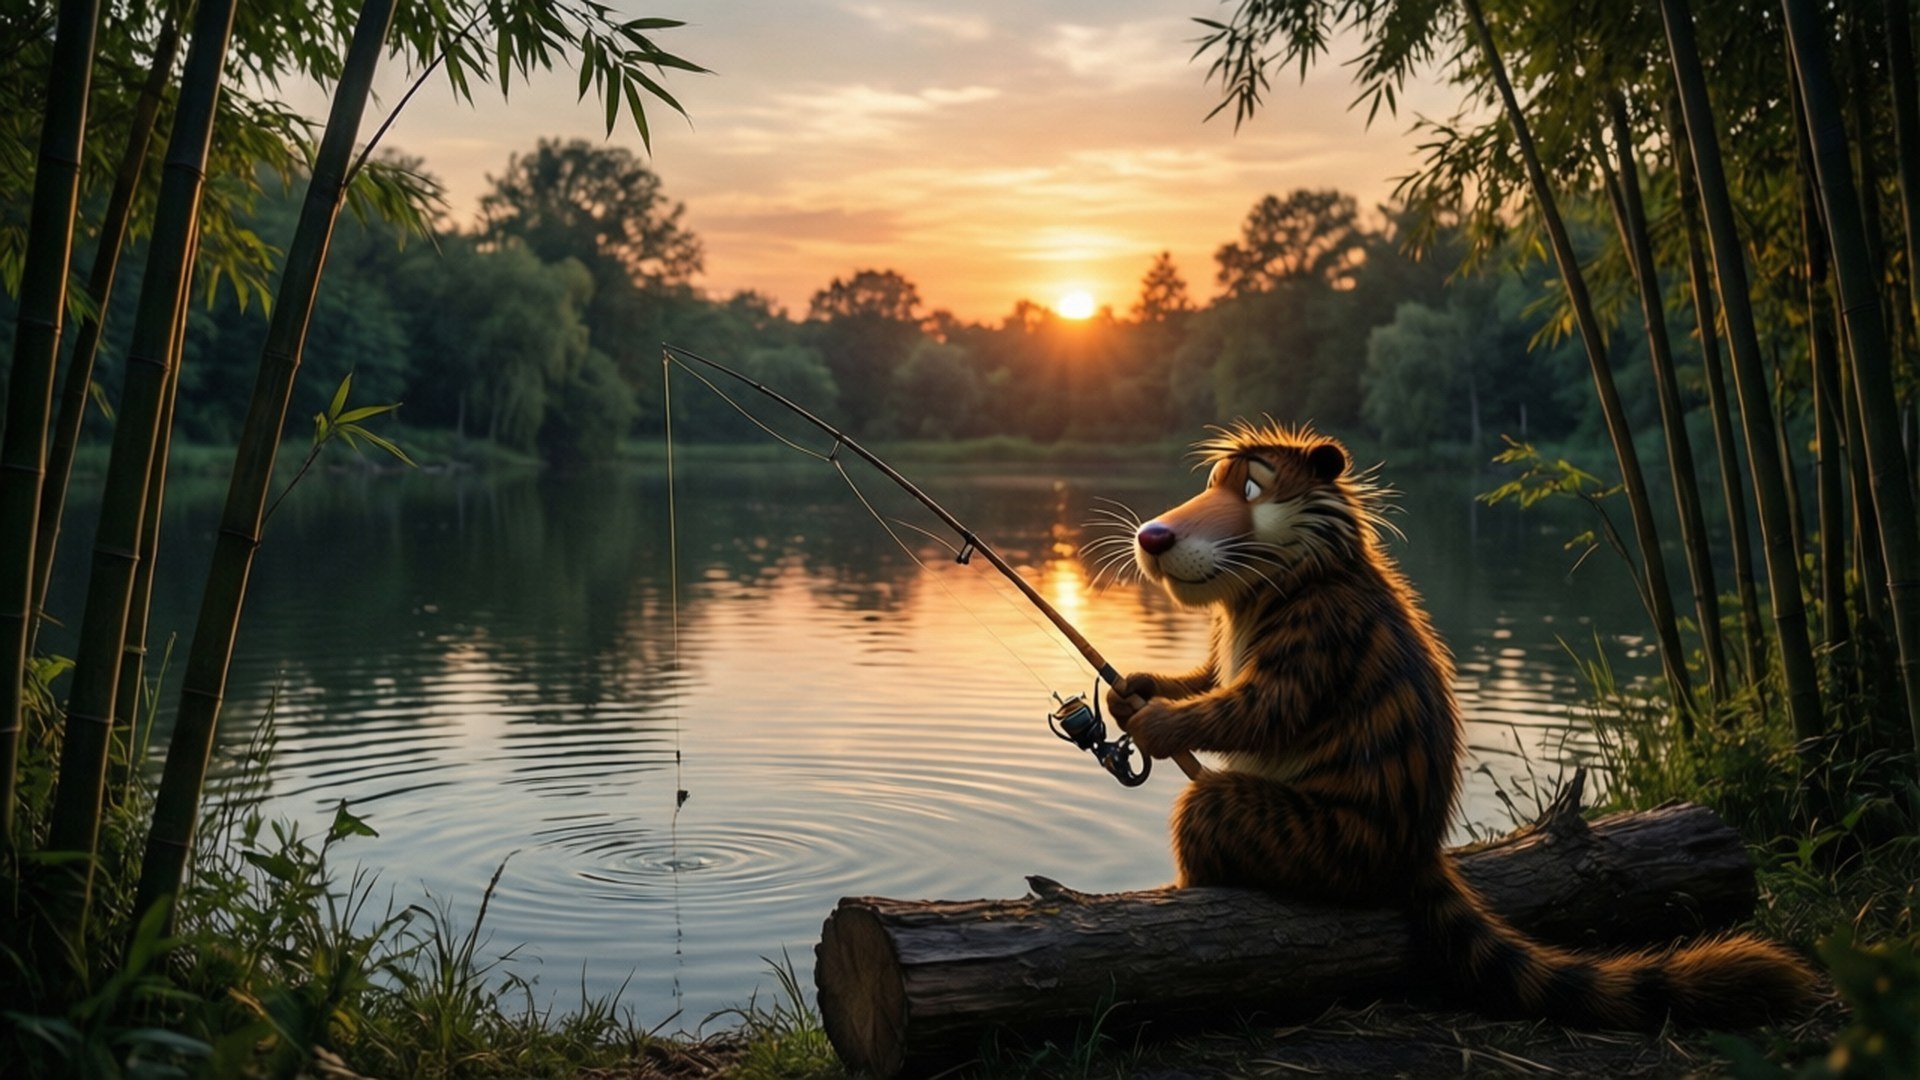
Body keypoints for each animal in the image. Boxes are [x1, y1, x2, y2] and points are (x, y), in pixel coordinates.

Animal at [1104, 419, 1816, 1029]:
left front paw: (1161, 723)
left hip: (1321, 837)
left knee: (1208, 811)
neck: (1284, 578)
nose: (1152, 537)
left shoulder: (1320, 641)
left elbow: (1255, 709)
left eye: (1250, 488)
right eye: (1210, 482)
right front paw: (1136, 689)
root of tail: (1419, 852)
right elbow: (1209, 678)